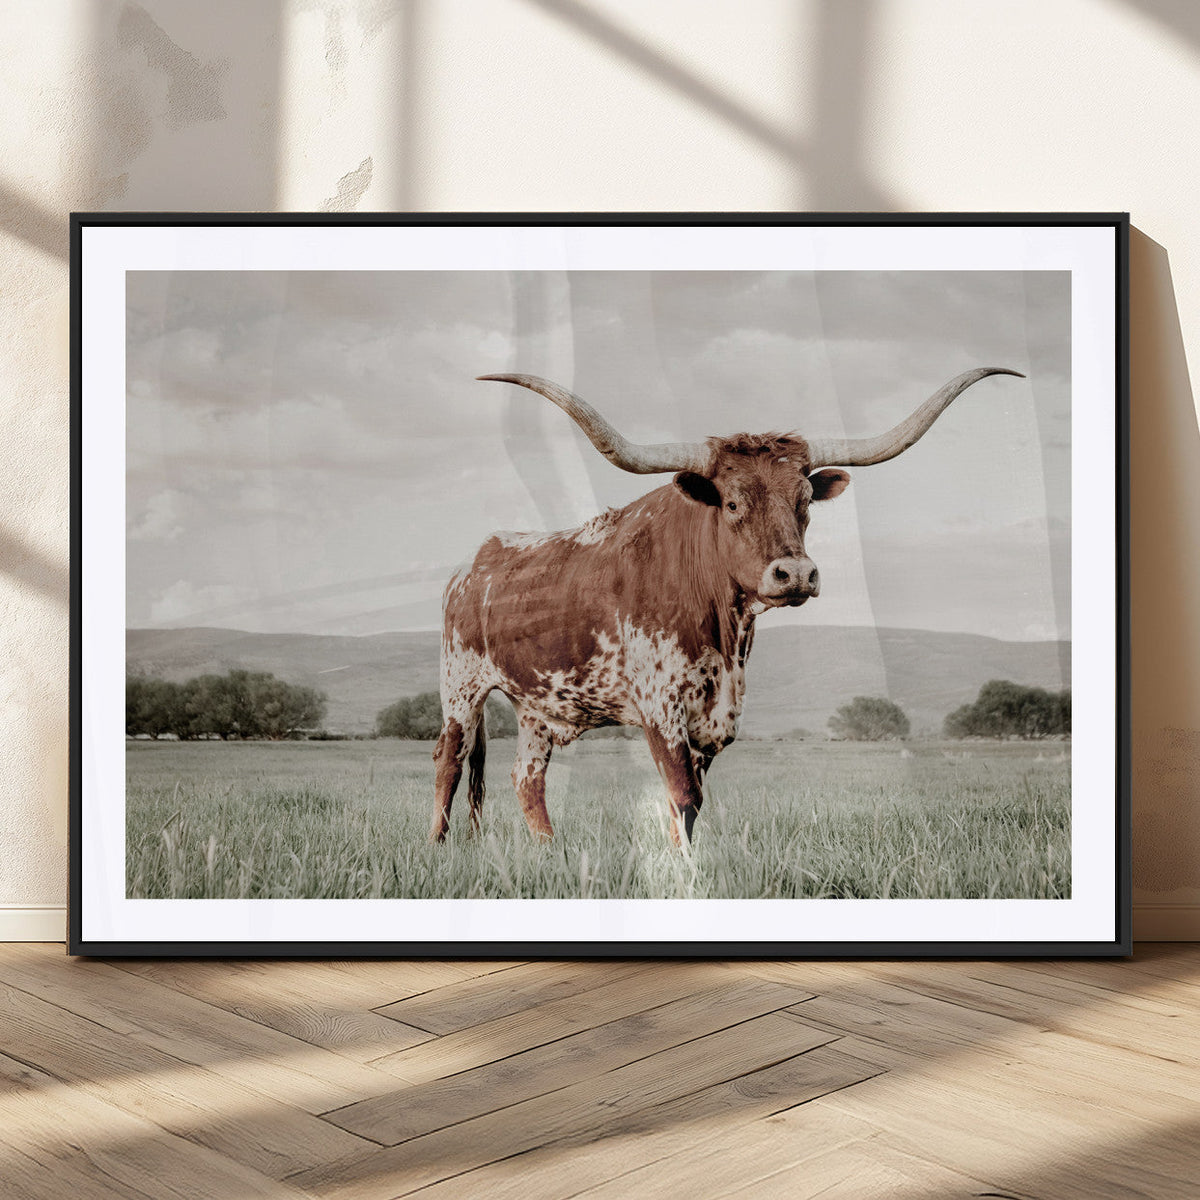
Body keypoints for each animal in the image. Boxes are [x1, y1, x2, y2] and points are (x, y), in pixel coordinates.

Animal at [431, 367, 1022, 845]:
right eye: (733, 503)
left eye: (805, 502)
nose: (796, 574)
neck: (723, 631)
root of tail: (470, 567)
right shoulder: (660, 707)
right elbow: (681, 796)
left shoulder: (716, 719)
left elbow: (693, 805)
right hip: (461, 689)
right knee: (448, 765)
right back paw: (438, 849)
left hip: (536, 707)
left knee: (526, 779)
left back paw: (549, 850)